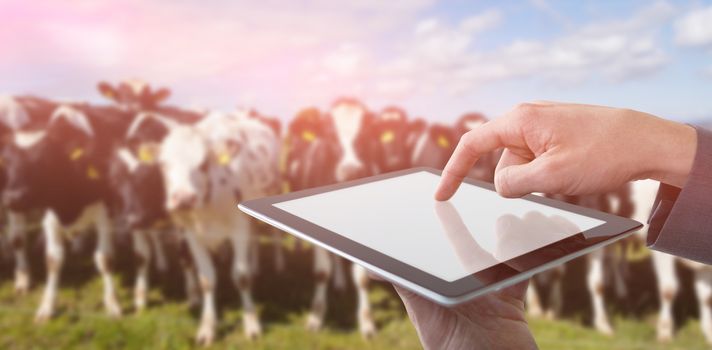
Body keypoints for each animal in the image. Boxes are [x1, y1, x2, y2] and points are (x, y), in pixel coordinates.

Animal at [2, 102, 136, 322]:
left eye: (44, 161)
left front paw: (113, 304)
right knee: (19, 238)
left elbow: (105, 258)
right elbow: (53, 260)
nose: (12, 197)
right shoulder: (50, 216)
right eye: (4, 162)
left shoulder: (105, 212)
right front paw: (47, 307)